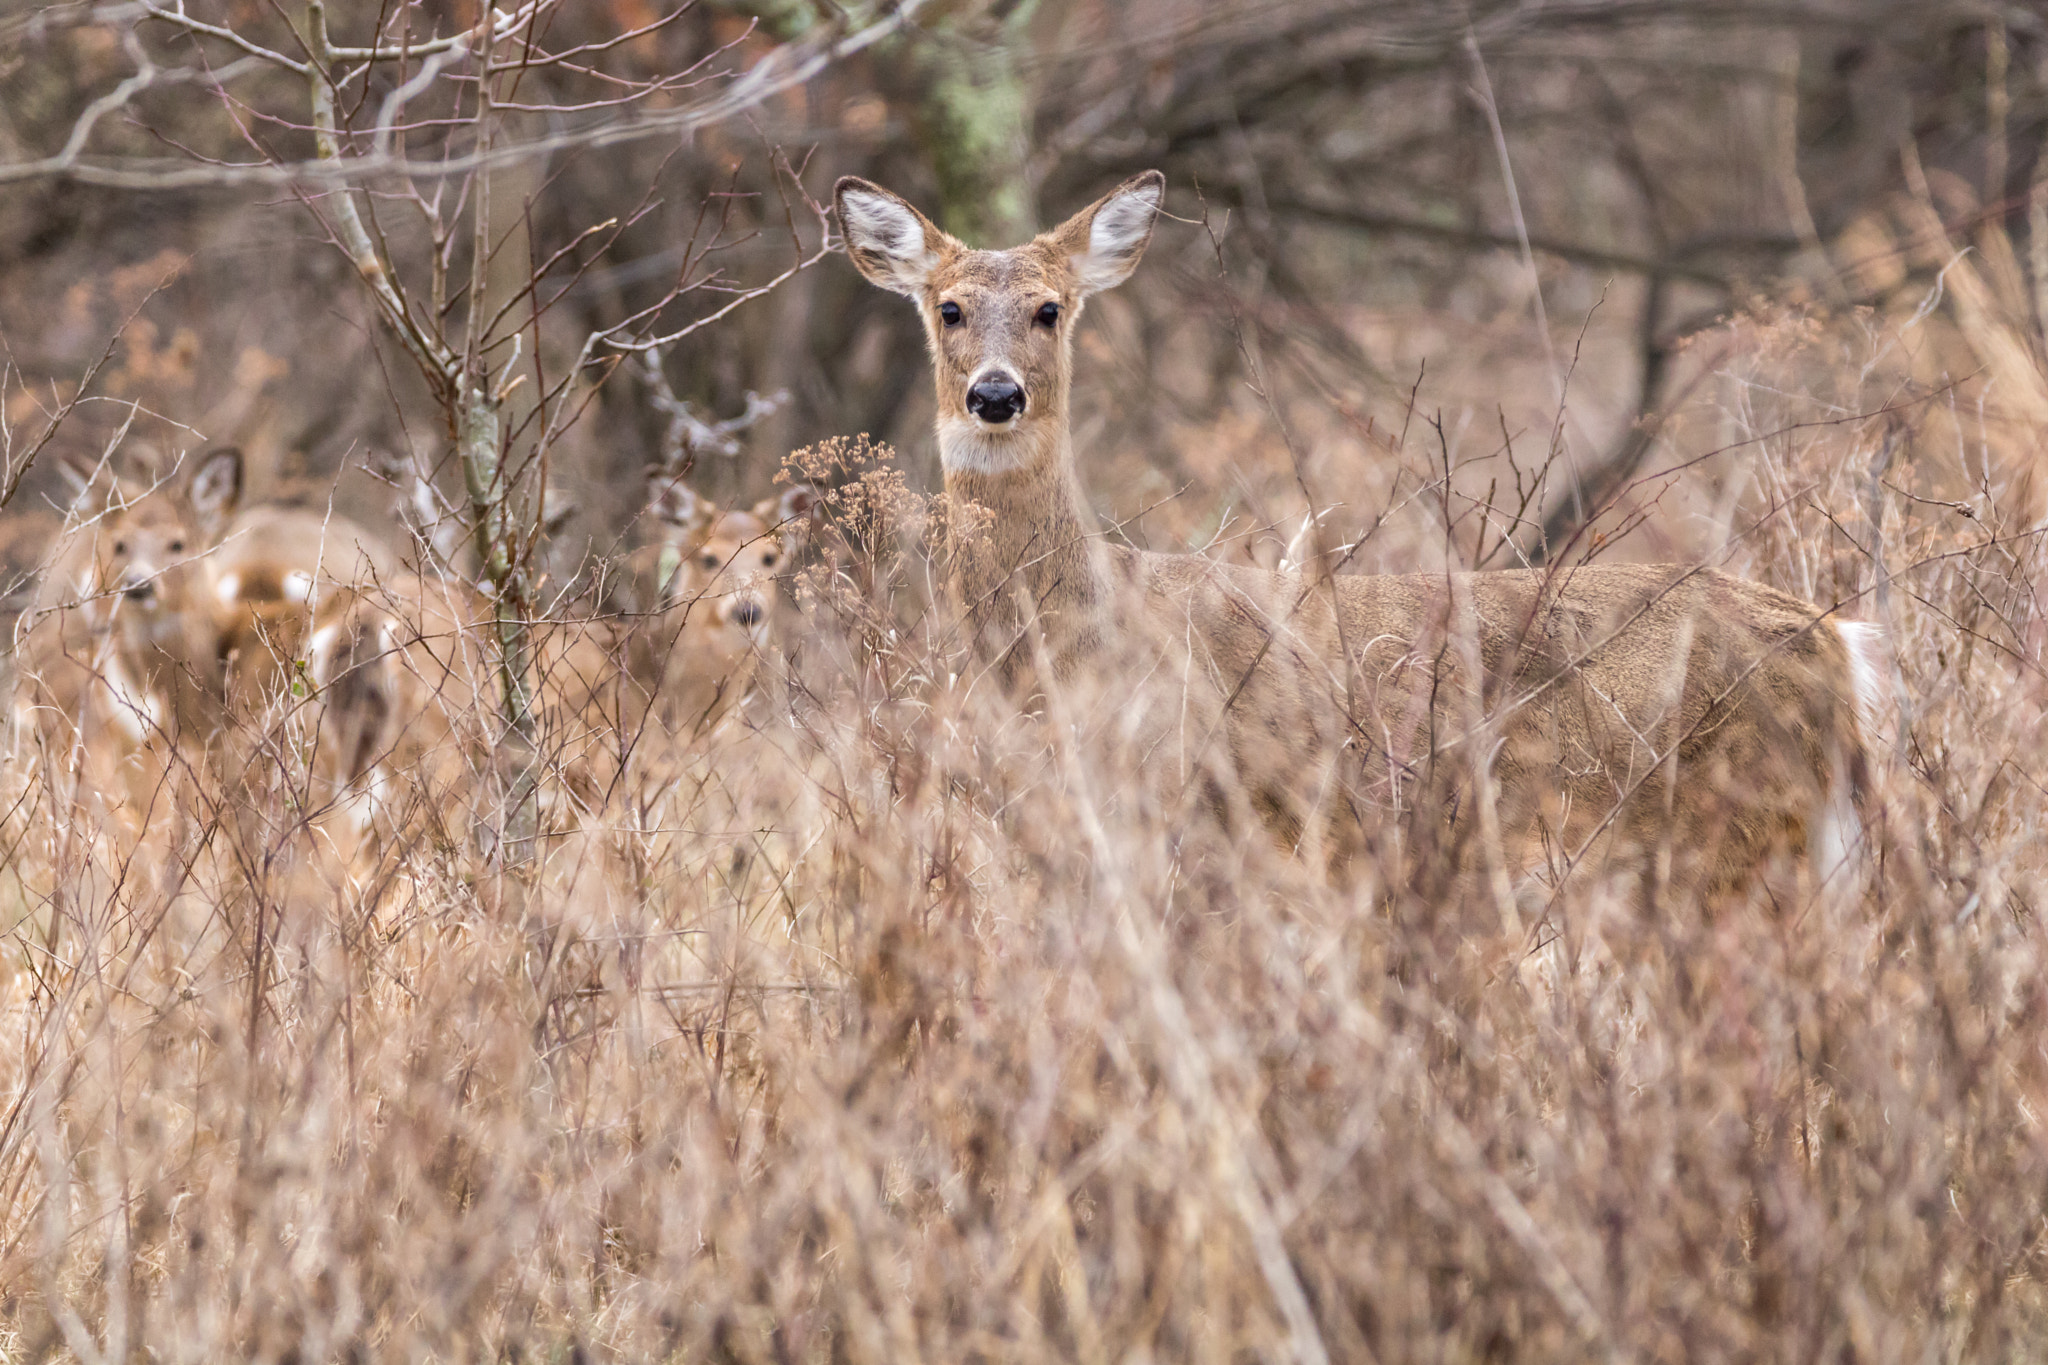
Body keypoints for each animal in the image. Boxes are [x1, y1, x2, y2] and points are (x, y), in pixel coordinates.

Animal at [834, 170, 1887, 902]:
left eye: (1050, 309)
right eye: (949, 308)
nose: (995, 395)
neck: (1084, 628)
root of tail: (1837, 643)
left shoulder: (1202, 815)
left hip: (1741, 830)